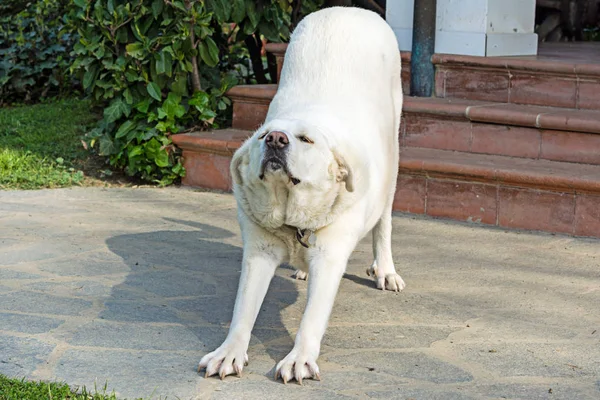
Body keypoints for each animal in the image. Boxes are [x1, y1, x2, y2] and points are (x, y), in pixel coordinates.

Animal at [199, 5, 406, 382]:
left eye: (306, 140)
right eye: (262, 135)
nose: (276, 139)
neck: (291, 216)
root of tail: (348, 9)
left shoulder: (330, 254)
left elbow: (312, 316)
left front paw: (299, 359)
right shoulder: (259, 252)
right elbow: (243, 309)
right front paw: (229, 352)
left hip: (394, 158)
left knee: (384, 222)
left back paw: (385, 269)